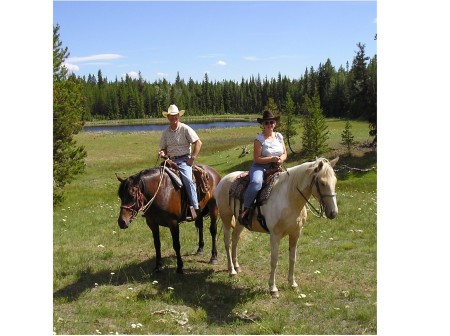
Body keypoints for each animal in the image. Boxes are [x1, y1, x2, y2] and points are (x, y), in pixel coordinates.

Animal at [214, 157, 338, 296]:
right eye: (322, 183)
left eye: (335, 181)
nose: (333, 213)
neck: (289, 198)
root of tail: (224, 179)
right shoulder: (275, 235)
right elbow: (274, 260)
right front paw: (273, 288)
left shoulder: (296, 233)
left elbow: (292, 258)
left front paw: (292, 283)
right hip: (226, 218)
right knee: (227, 243)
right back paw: (231, 270)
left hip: (240, 222)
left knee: (235, 240)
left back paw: (237, 266)